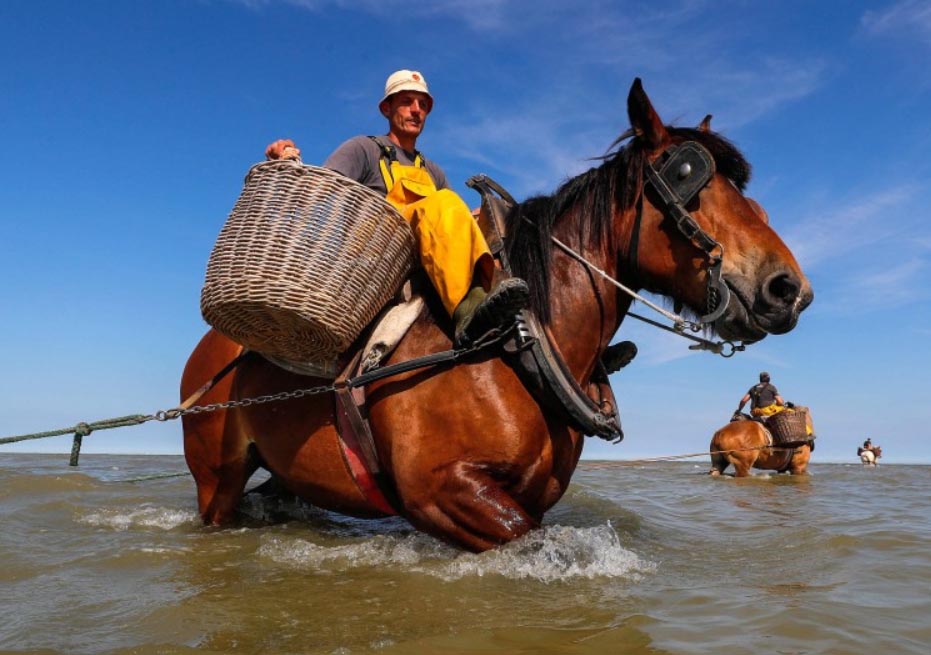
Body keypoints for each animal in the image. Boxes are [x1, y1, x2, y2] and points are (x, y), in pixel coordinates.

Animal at [178, 78, 812, 552]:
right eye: (685, 176)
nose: (789, 289)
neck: (520, 343)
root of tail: (209, 351)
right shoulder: (440, 493)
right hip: (215, 481)